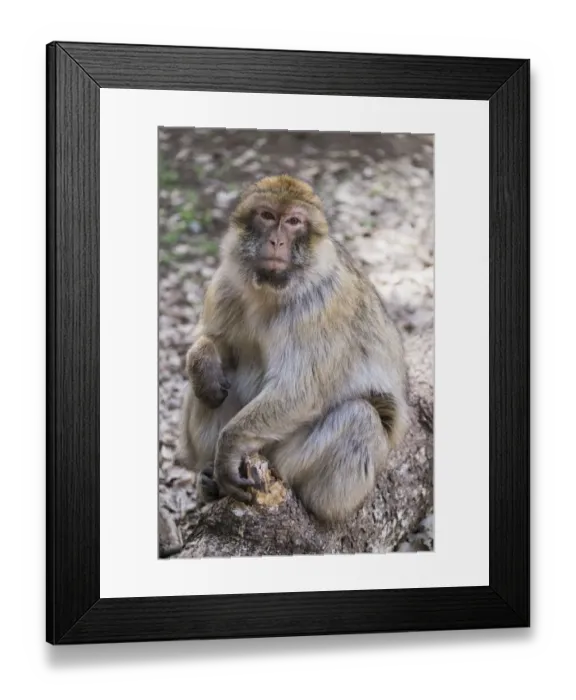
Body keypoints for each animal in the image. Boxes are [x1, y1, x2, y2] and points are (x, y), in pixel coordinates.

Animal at [177, 174, 410, 523]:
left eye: (294, 222)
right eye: (267, 216)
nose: (276, 241)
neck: (270, 291)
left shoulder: (321, 307)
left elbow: (300, 391)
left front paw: (228, 449)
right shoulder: (225, 284)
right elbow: (216, 344)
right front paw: (203, 361)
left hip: (292, 459)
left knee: (360, 416)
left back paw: (315, 503)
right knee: (209, 387)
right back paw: (207, 476)